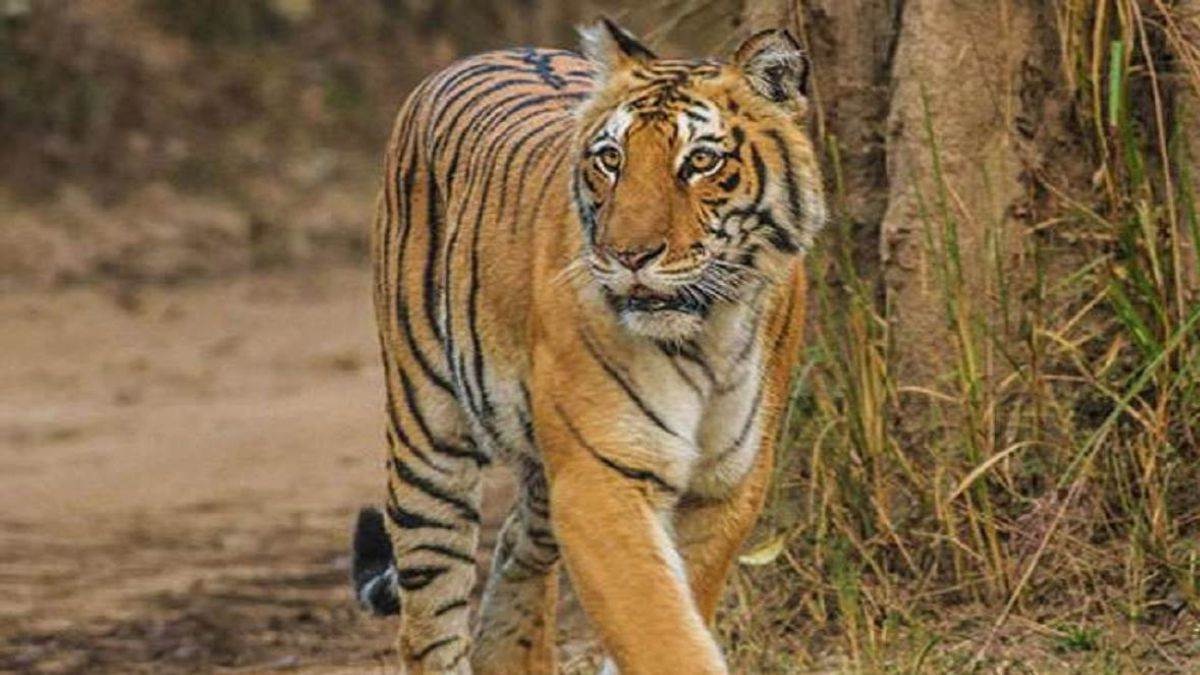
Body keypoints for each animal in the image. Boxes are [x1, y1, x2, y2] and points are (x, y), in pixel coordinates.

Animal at [350, 18, 824, 674]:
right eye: (611, 160)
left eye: (700, 161)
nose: (629, 255)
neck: (706, 334)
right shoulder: (601, 475)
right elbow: (660, 630)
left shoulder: (727, 483)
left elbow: (675, 606)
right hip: (428, 435)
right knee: (429, 621)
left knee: (516, 550)